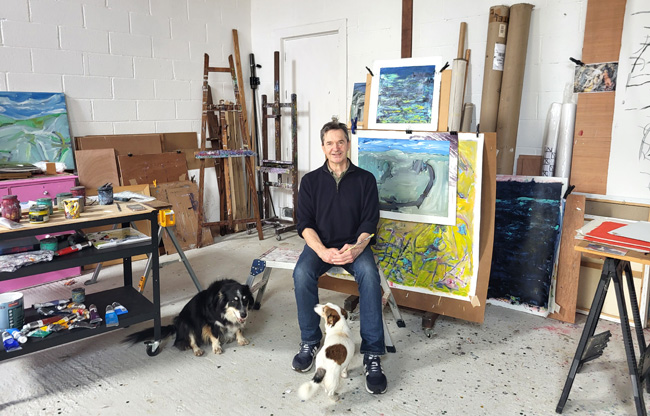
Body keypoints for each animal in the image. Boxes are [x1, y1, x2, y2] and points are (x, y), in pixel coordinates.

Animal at [124, 279, 253, 356]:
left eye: (245, 299)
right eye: (233, 301)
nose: (244, 314)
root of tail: (175, 327)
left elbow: (238, 328)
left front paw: (241, 339)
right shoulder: (210, 323)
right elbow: (214, 335)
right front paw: (216, 347)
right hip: (185, 323)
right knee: (191, 341)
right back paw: (197, 350)